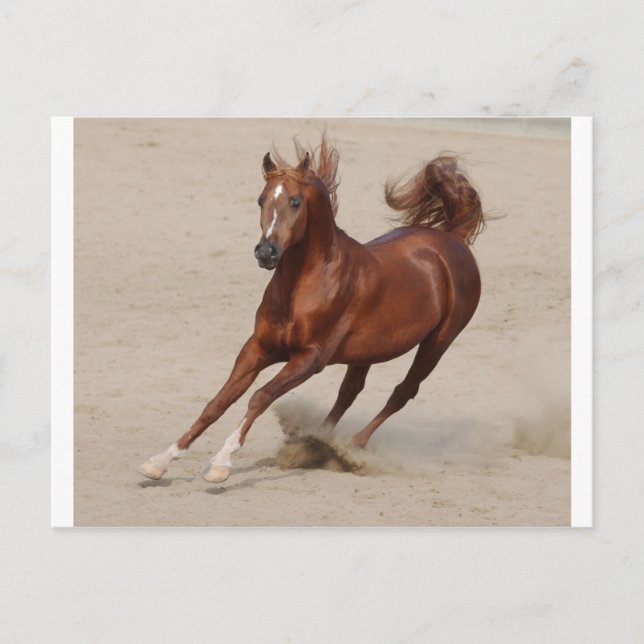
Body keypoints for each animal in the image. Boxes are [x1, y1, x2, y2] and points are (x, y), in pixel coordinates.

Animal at [138, 136, 485, 483]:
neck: (305, 284)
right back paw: (318, 442)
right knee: (349, 392)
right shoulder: (258, 347)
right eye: (261, 199)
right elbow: (217, 402)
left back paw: (349, 448)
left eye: (295, 201)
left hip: (438, 343)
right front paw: (160, 460)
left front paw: (221, 464)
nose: (266, 252)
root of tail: (453, 240)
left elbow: (260, 397)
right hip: (368, 351)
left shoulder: (309, 358)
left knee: (403, 392)